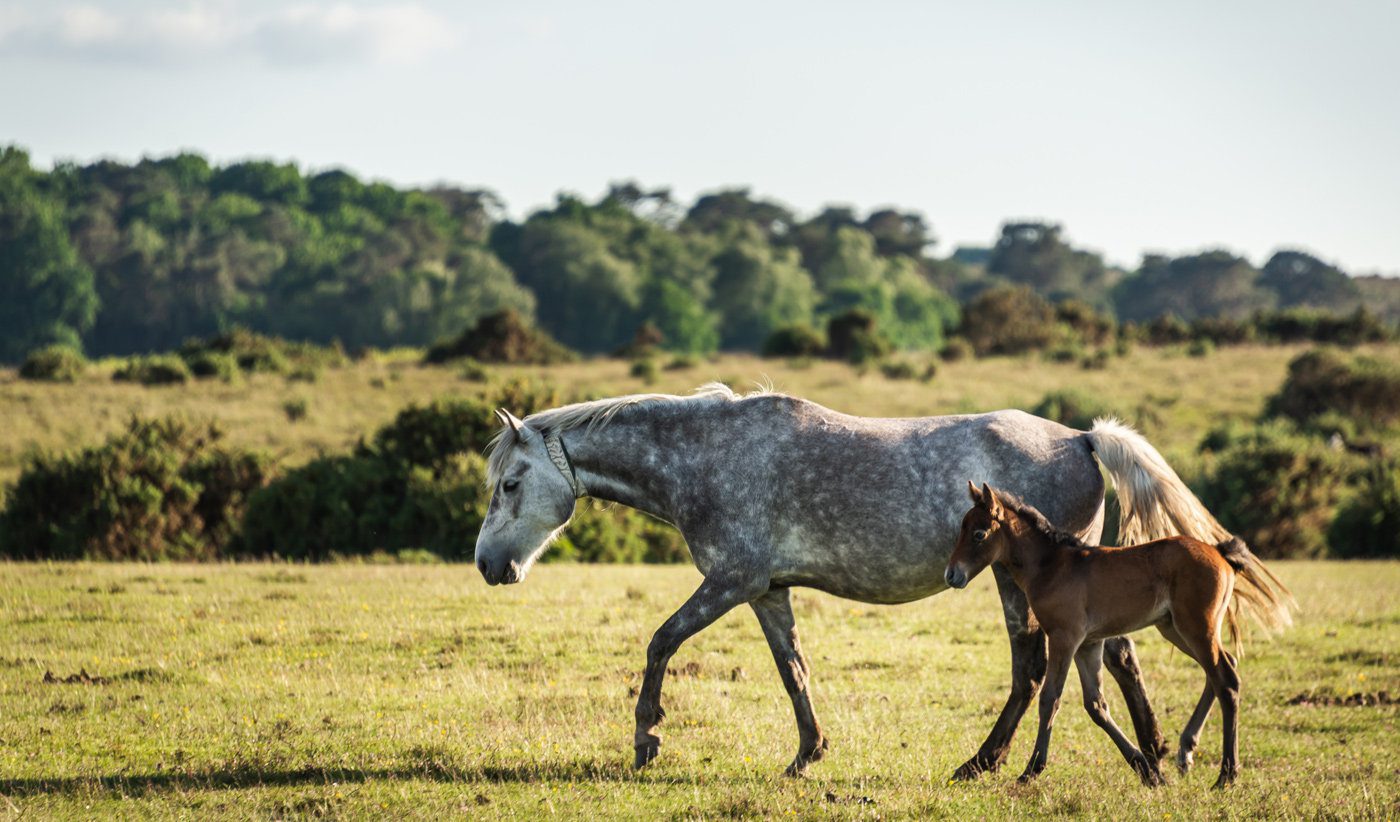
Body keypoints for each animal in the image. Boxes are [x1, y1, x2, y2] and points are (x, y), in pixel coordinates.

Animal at [473, 383, 1226, 784]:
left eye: (510, 484)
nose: (487, 565)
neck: (703, 454)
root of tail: (1081, 437)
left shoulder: (729, 581)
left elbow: (661, 642)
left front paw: (646, 740)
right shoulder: (765, 590)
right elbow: (793, 670)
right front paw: (807, 754)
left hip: (1025, 585)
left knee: (1038, 669)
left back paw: (990, 762)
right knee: (1111, 657)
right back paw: (1152, 755)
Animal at [946, 481, 1293, 789]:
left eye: (978, 534)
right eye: (961, 529)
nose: (952, 575)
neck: (1052, 565)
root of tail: (1220, 552)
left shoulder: (1064, 637)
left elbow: (1050, 698)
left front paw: (1030, 771)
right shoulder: (1088, 644)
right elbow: (1096, 705)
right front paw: (1148, 772)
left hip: (1196, 627)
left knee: (1227, 680)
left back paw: (1226, 775)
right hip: (1175, 629)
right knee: (1223, 669)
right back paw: (1187, 751)